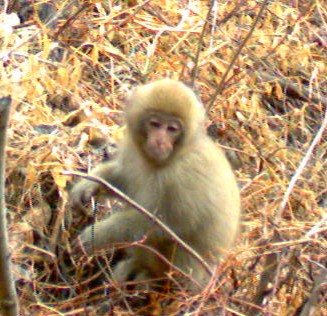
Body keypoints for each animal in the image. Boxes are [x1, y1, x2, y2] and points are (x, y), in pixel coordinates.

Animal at [71, 79, 241, 288]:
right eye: (155, 124)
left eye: (172, 129)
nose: (160, 141)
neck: (170, 159)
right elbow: (124, 180)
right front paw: (90, 184)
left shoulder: (183, 177)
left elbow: (165, 225)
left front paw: (97, 236)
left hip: (185, 274)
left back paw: (150, 275)